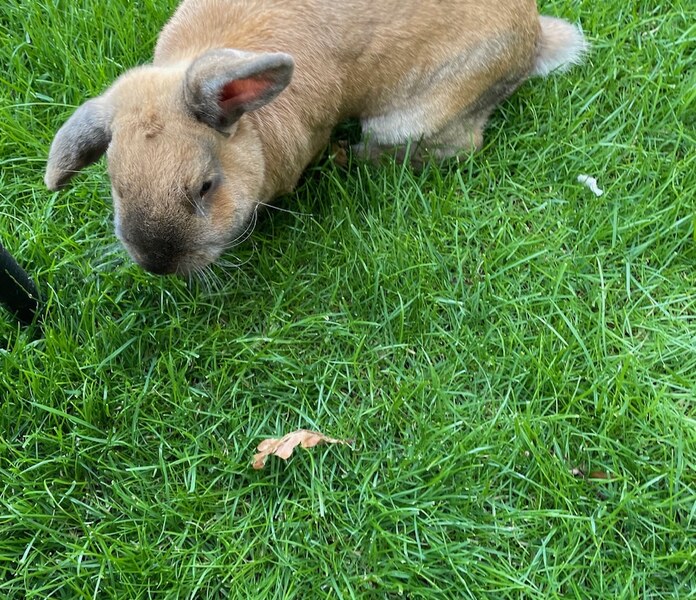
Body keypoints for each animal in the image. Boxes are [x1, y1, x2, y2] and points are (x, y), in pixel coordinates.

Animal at [45, 0, 587, 275]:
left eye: (205, 186)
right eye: (116, 187)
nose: (155, 264)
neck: (254, 128)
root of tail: (534, 41)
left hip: (411, 118)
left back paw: (348, 156)